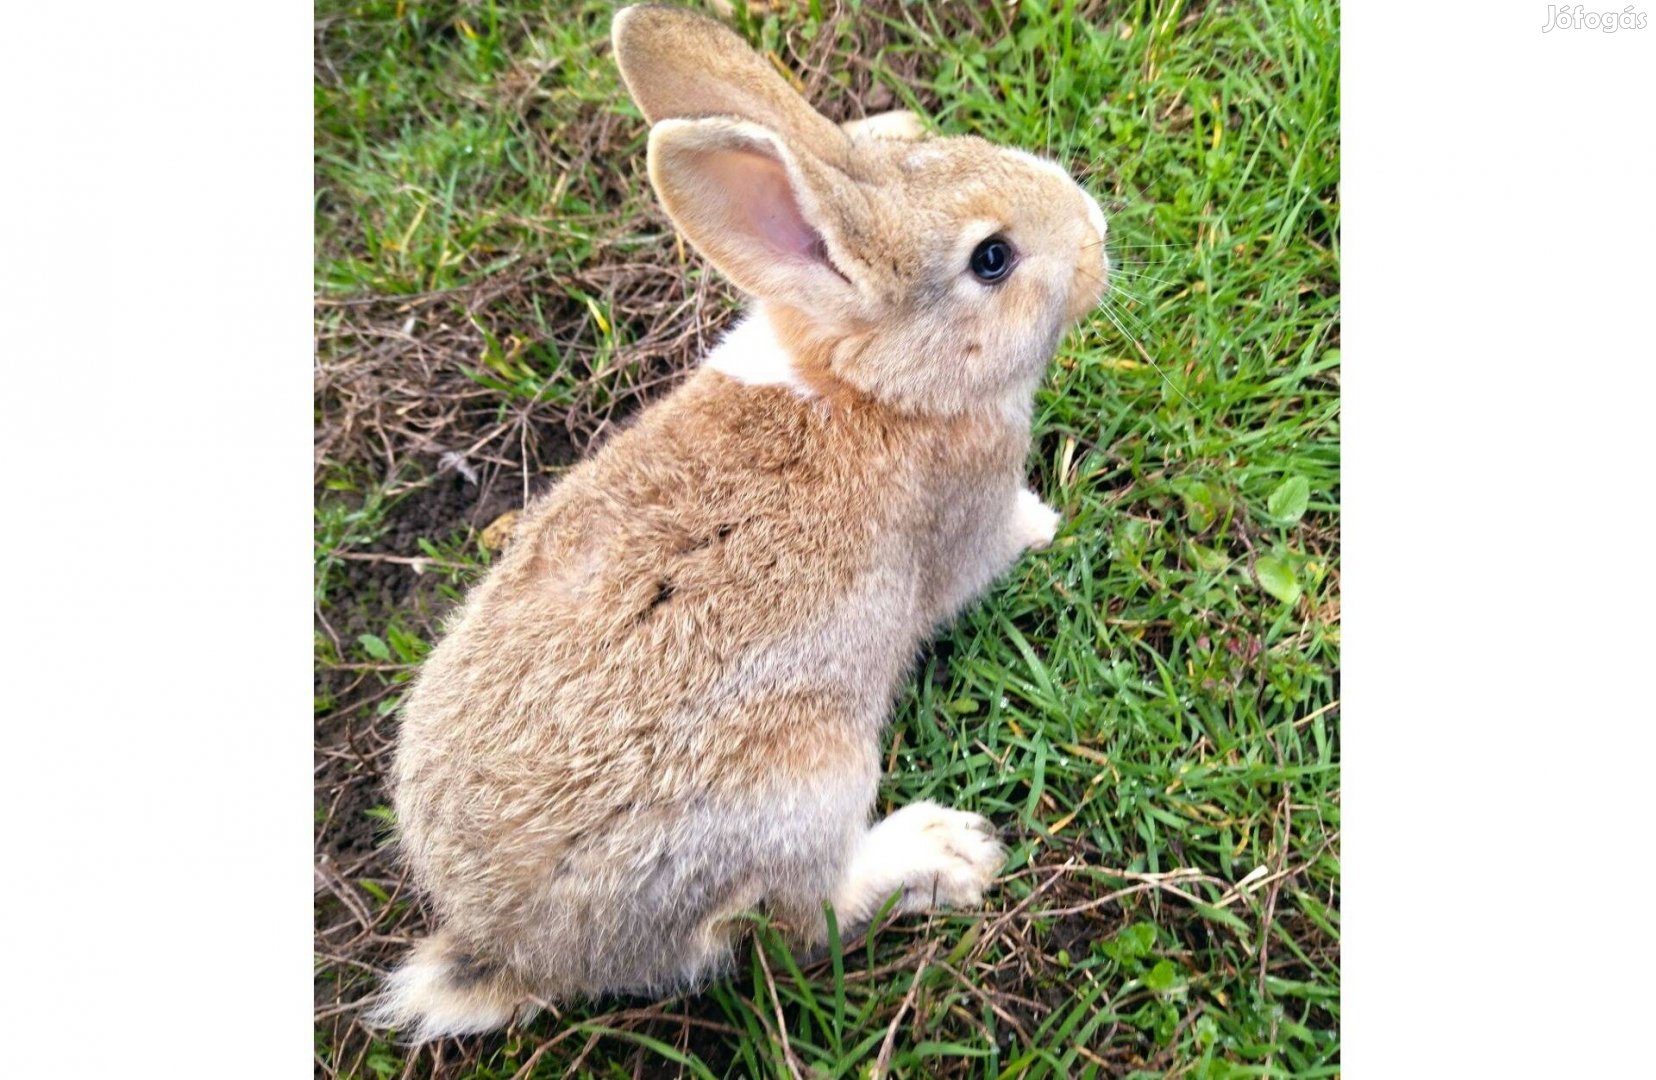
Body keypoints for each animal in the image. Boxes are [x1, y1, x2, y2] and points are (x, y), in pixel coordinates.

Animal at [369, 2, 1106, 1046]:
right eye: (991, 259)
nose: (1096, 233)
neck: (869, 383)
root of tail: (515, 950)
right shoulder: (970, 517)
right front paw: (1047, 523)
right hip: (808, 777)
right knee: (804, 923)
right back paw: (944, 850)